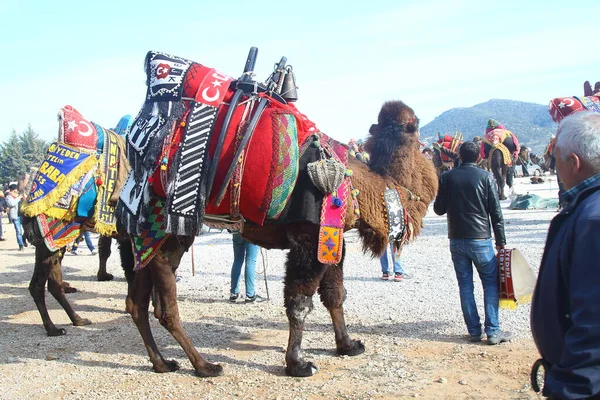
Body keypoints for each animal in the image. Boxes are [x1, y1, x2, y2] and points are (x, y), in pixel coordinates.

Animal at [21, 108, 135, 336]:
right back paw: (53, 328)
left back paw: (78, 320)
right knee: (37, 285)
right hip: (49, 239)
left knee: (53, 284)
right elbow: (132, 269)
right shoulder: (129, 234)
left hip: (57, 240)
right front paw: (132, 306)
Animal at [117, 48, 436, 376]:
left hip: (141, 238)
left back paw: (162, 362)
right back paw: (204, 365)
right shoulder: (309, 235)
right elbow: (299, 301)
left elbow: (335, 294)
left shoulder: (332, 238)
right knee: (164, 306)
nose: (426, 145)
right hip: (166, 230)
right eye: (415, 126)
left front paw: (348, 345)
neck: (359, 183)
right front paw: (298, 362)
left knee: (136, 303)